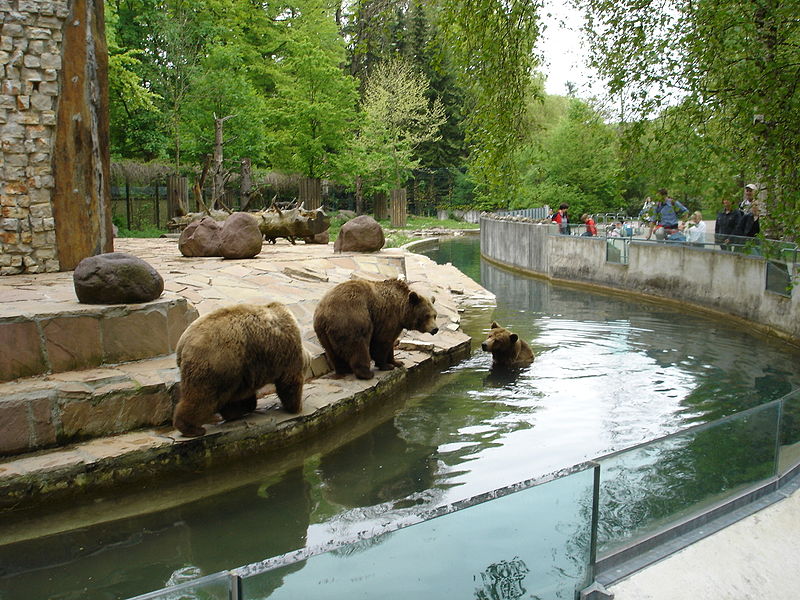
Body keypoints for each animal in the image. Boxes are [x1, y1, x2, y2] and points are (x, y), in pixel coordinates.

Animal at [173, 304, 310, 436]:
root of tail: (182, 344)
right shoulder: (286, 352)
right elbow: (289, 382)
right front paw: (297, 407)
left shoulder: (247, 368)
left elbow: (240, 396)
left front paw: (239, 410)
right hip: (214, 362)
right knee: (201, 397)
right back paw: (192, 428)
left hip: (228, 367)